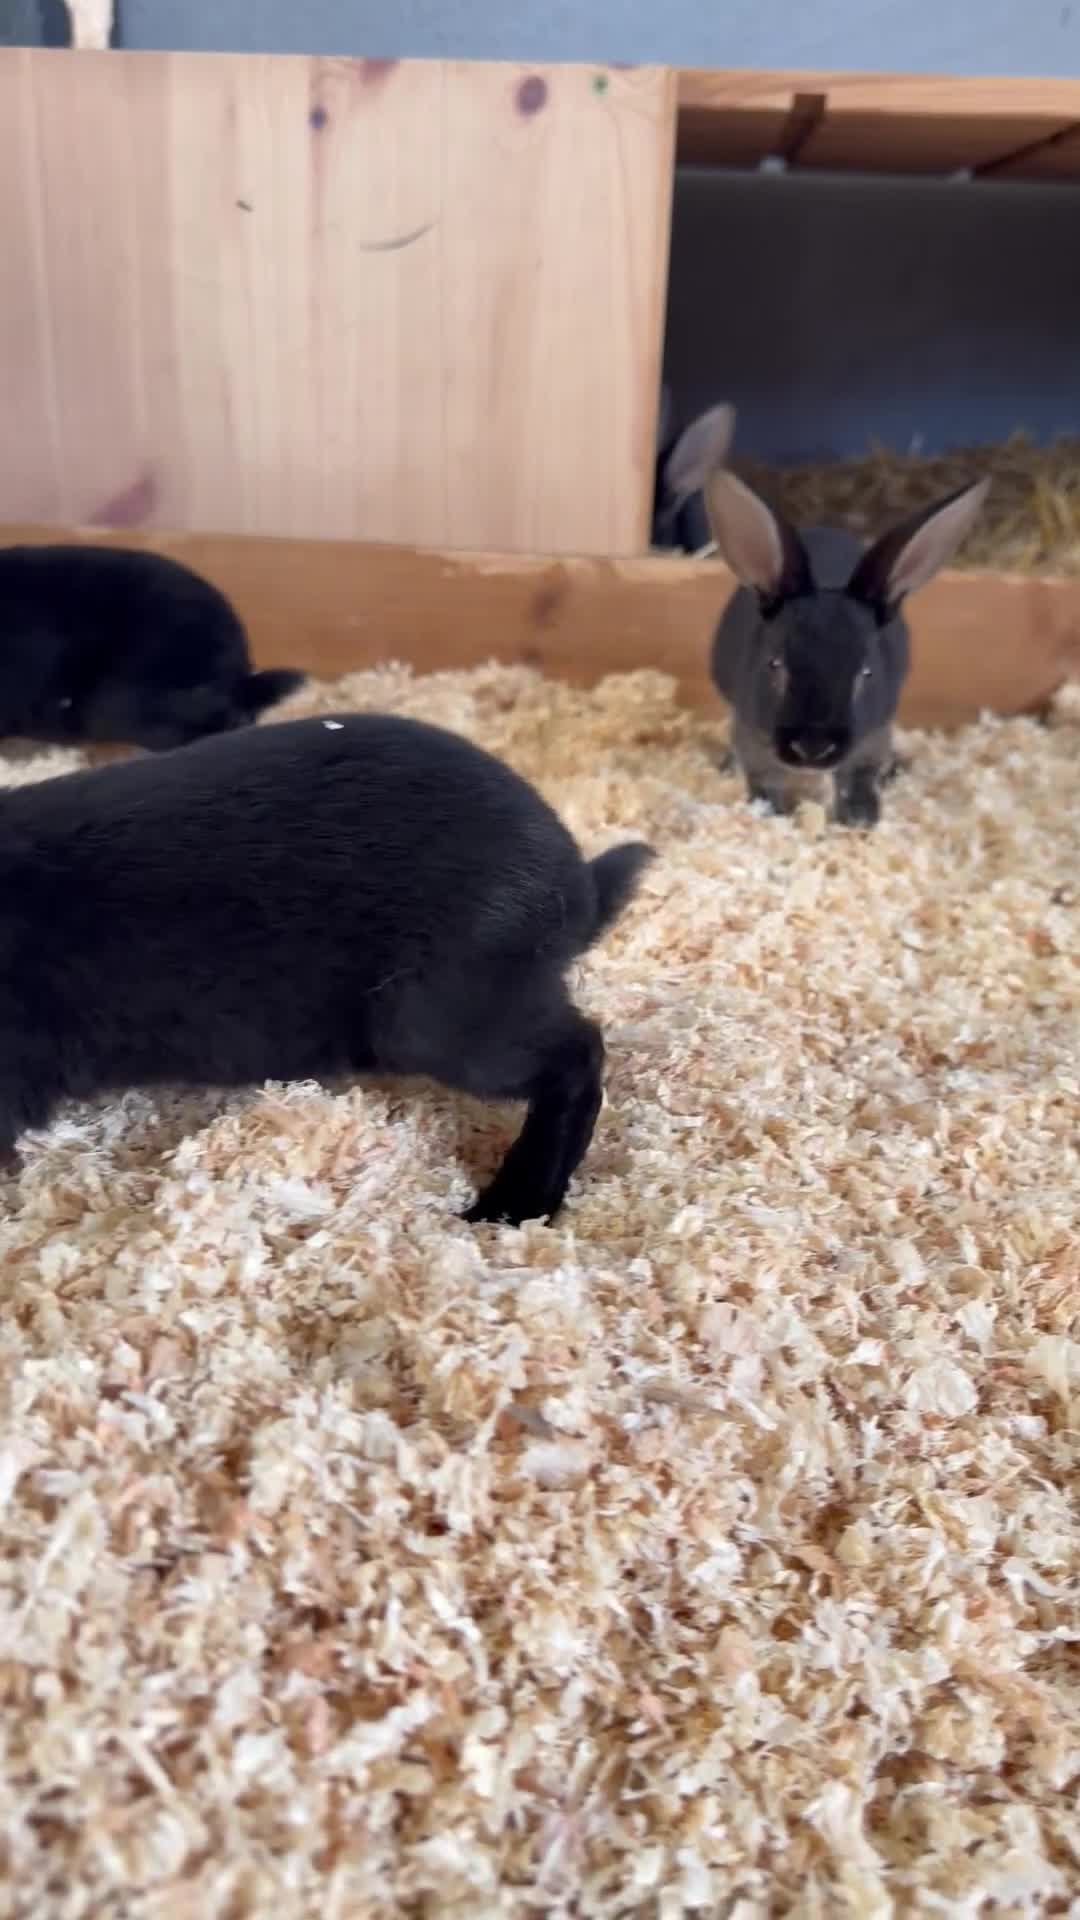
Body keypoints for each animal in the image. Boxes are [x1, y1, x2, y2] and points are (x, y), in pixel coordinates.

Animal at [704, 465, 990, 826]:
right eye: (774, 664)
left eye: (866, 673)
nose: (813, 747)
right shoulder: (751, 735)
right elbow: (763, 781)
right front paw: (771, 815)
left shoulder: (872, 738)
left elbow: (858, 781)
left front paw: (860, 820)